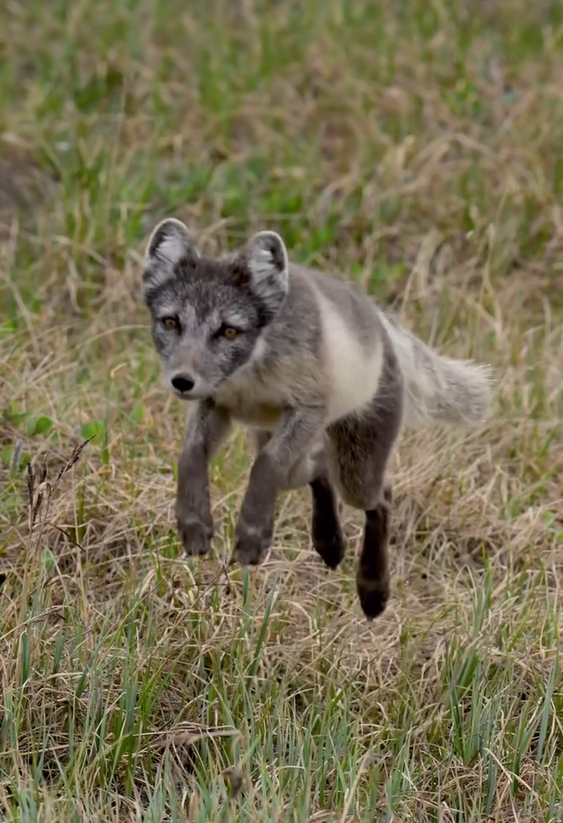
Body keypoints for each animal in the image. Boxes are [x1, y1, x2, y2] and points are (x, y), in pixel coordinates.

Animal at [142, 217, 493, 619]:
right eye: (171, 322)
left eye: (229, 330)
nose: (182, 380)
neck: (248, 376)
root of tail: (377, 318)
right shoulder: (215, 405)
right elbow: (190, 457)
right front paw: (194, 525)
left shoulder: (309, 408)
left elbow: (265, 465)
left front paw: (251, 536)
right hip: (289, 453)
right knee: (318, 470)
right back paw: (330, 542)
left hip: (356, 469)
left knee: (380, 497)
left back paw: (373, 587)